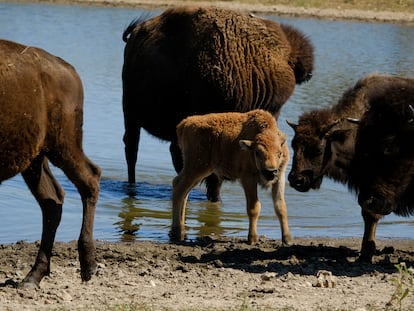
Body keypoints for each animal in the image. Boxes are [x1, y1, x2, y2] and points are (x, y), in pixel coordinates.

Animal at [0, 39, 100, 288]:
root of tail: (68, 69)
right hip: (35, 159)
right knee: (52, 201)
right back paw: (32, 277)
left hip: (63, 145)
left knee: (90, 179)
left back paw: (88, 266)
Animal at [170, 109, 290, 246]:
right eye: (257, 153)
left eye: (279, 153)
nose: (270, 172)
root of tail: (185, 123)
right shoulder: (248, 179)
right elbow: (254, 207)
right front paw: (252, 238)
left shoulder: (279, 178)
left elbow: (281, 207)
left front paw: (287, 239)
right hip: (196, 168)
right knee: (179, 188)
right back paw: (177, 232)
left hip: (199, 171)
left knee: (184, 192)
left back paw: (180, 230)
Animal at [288, 73, 414, 264]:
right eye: (293, 145)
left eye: (318, 149)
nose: (296, 179)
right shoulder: (367, 187)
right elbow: (368, 215)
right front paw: (365, 254)